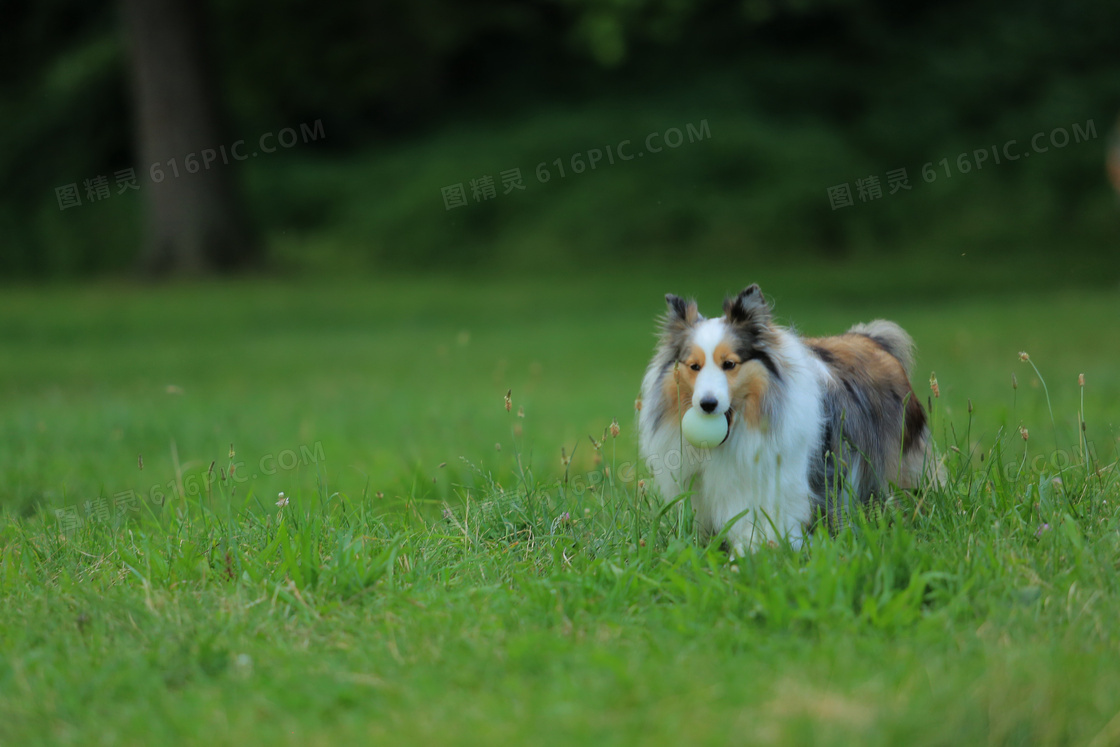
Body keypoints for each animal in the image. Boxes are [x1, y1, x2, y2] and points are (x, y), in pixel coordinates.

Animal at [640, 286, 936, 555]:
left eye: (729, 364)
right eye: (694, 366)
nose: (707, 404)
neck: (743, 427)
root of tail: (873, 338)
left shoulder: (781, 485)